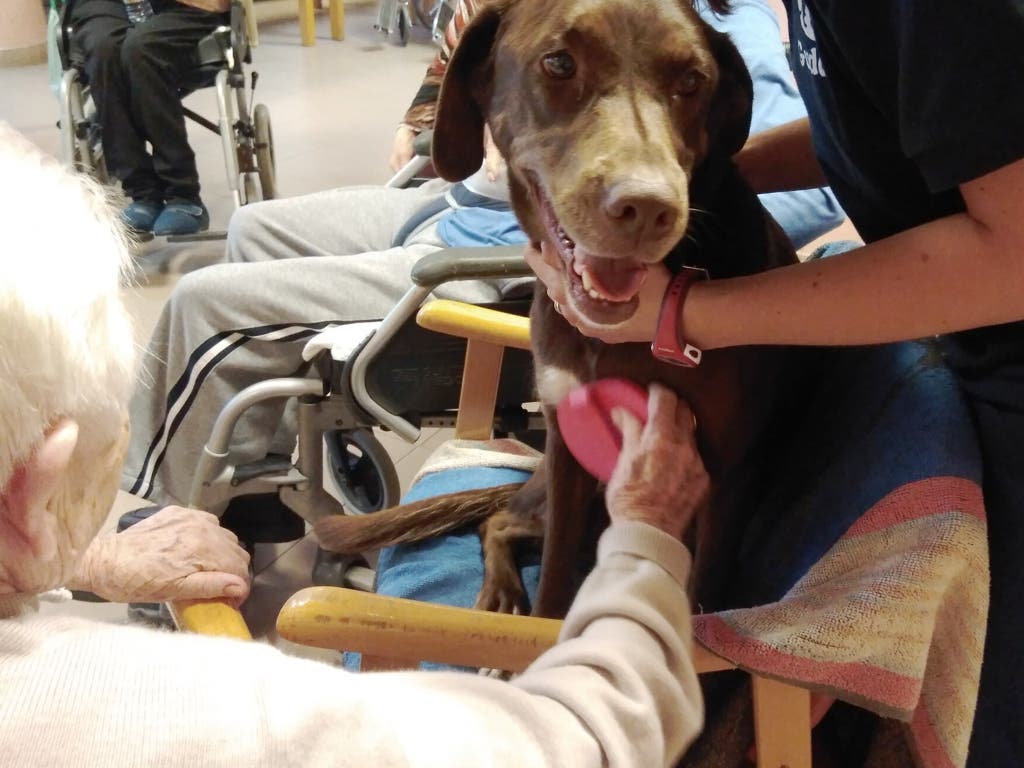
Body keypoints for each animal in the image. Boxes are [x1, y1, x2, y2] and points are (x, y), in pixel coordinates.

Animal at [317, 0, 798, 618]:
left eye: (693, 81)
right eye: (560, 63)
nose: (648, 209)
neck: (612, 338)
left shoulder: (731, 470)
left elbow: (702, 597)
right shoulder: (569, 447)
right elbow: (554, 575)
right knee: (499, 521)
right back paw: (501, 591)